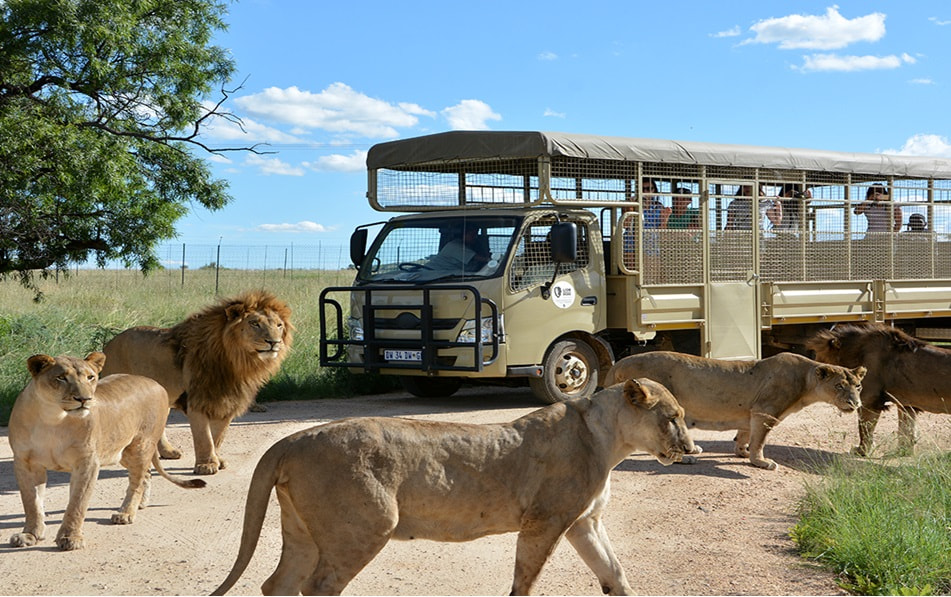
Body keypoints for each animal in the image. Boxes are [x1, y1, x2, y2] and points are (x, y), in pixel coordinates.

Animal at [7, 352, 205, 552]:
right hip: (123, 452)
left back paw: (125, 513)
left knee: (137, 481)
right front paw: (29, 535)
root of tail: (156, 383)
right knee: (146, 474)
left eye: (90, 377)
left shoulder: (87, 462)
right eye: (61, 377)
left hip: (140, 446)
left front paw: (70, 538)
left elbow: (77, 503)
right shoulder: (26, 463)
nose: (84, 399)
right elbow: (32, 503)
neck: (53, 418)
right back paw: (140, 504)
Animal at [100, 290, 294, 474]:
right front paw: (206, 465)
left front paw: (217, 460)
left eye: (279, 325)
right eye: (254, 323)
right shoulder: (197, 400)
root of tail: (108, 344)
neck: (238, 362)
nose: (274, 342)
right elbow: (204, 437)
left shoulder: (228, 401)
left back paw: (168, 452)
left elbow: (217, 436)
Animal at [212, 380, 696, 592]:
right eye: (672, 417)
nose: (691, 447)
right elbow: (525, 581)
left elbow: (614, 573)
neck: (609, 440)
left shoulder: (584, 523)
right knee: (316, 588)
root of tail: (292, 439)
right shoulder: (544, 521)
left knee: (277, 584)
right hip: (364, 528)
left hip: (303, 533)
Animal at [608, 350, 868, 470]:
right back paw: (687, 459)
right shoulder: (765, 411)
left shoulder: (751, 413)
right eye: (839, 386)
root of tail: (619, 363)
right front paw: (761, 462)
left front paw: (742, 452)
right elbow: (760, 441)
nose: (855, 403)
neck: (806, 381)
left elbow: (746, 434)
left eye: (858, 386)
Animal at [812, 324, 951, 454]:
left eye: (819, 360)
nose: (813, 375)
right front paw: (903, 452)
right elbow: (906, 430)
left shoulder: (869, 401)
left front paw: (862, 451)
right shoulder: (906, 405)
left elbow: (865, 429)